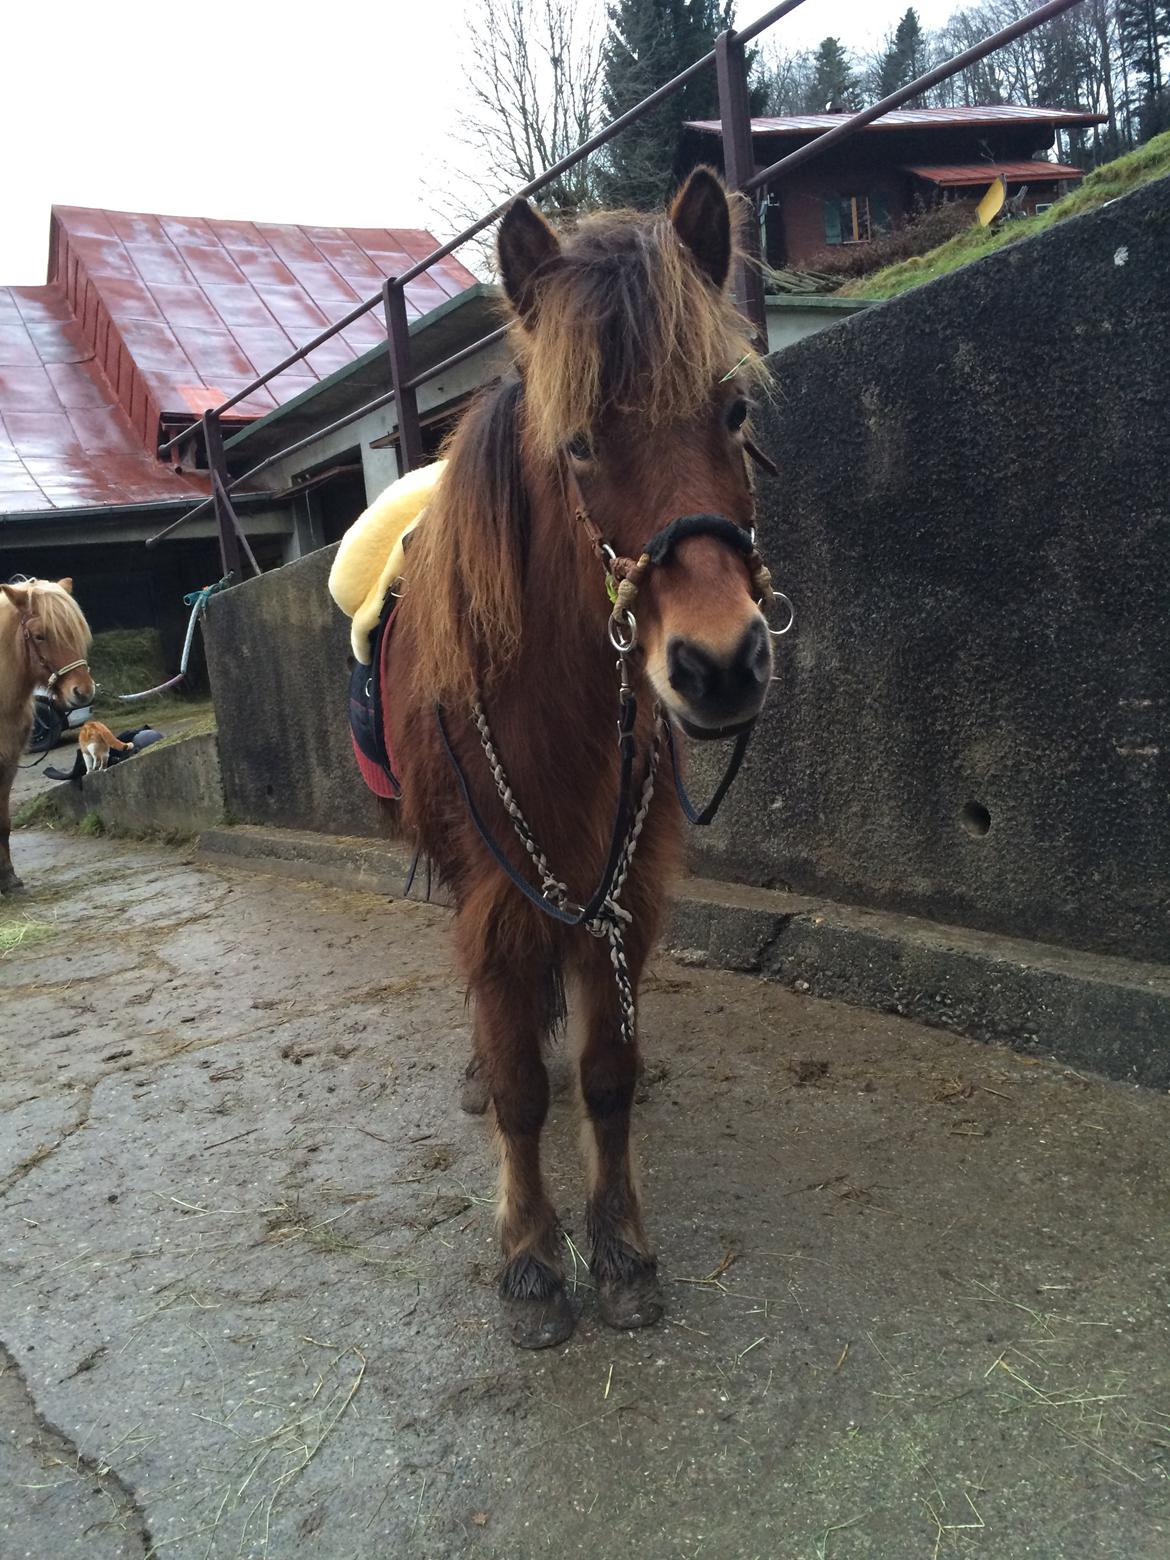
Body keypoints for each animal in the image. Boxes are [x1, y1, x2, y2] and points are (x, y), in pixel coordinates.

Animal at [0, 577, 94, 892]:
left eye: (76, 632)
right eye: (40, 636)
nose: (82, 691)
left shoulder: (7, 765)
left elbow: (3, 822)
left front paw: (8, 879)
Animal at [385, 167, 783, 1341]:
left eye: (732, 412)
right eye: (578, 444)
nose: (720, 663)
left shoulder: (628, 890)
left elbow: (607, 1070)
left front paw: (620, 1246)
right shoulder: (492, 896)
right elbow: (522, 1086)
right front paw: (529, 1256)